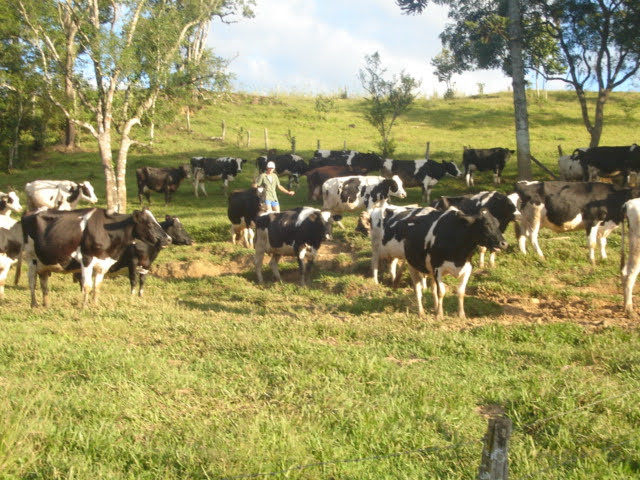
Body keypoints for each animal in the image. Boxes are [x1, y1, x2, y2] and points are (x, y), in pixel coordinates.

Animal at [22, 207, 171, 307]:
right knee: (32, 282)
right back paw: (34, 304)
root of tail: (29, 212)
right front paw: (84, 306)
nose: (168, 239)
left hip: (44, 262)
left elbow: (97, 286)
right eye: (149, 224)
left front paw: (95, 305)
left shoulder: (102, 264)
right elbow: (87, 285)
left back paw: (46, 304)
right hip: (31, 258)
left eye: (157, 222)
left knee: (44, 282)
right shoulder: (86, 259)